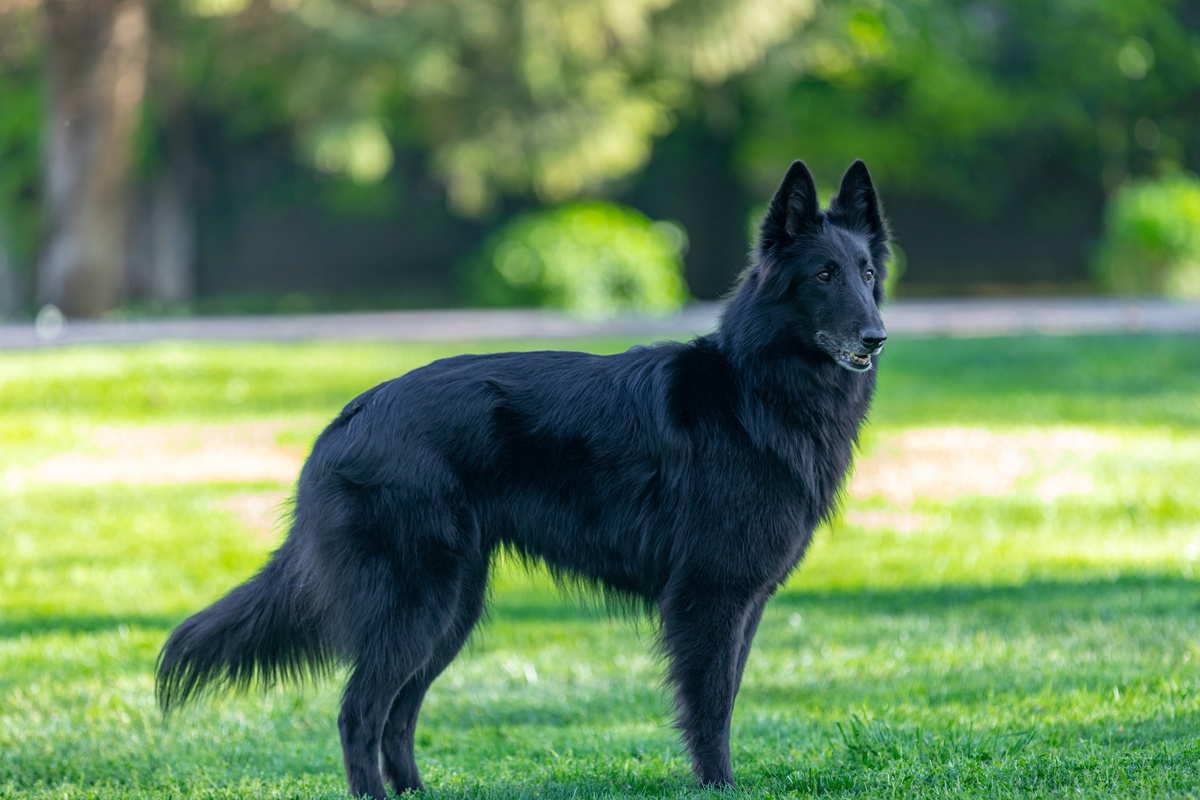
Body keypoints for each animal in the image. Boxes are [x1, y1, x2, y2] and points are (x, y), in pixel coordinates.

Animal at [157, 159, 892, 796]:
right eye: (824, 274)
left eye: (865, 272)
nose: (878, 336)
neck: (754, 390)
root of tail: (351, 416)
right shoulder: (710, 599)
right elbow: (710, 708)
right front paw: (719, 787)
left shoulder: (745, 602)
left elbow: (728, 696)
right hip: (418, 605)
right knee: (359, 710)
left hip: (451, 610)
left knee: (398, 712)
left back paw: (416, 793)